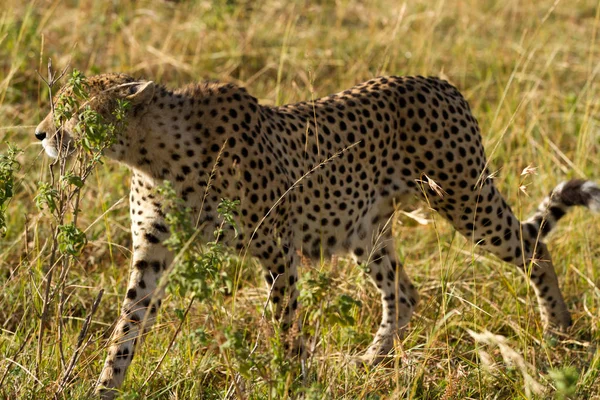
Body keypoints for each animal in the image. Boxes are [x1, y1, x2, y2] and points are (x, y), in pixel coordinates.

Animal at [35, 73, 596, 398]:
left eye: (74, 109)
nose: (41, 134)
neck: (152, 152)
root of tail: (438, 80)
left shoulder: (275, 248)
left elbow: (286, 327)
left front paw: (293, 382)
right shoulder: (152, 251)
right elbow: (126, 327)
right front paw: (104, 386)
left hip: (465, 200)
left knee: (534, 246)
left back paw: (559, 330)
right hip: (365, 228)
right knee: (404, 293)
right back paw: (371, 359)